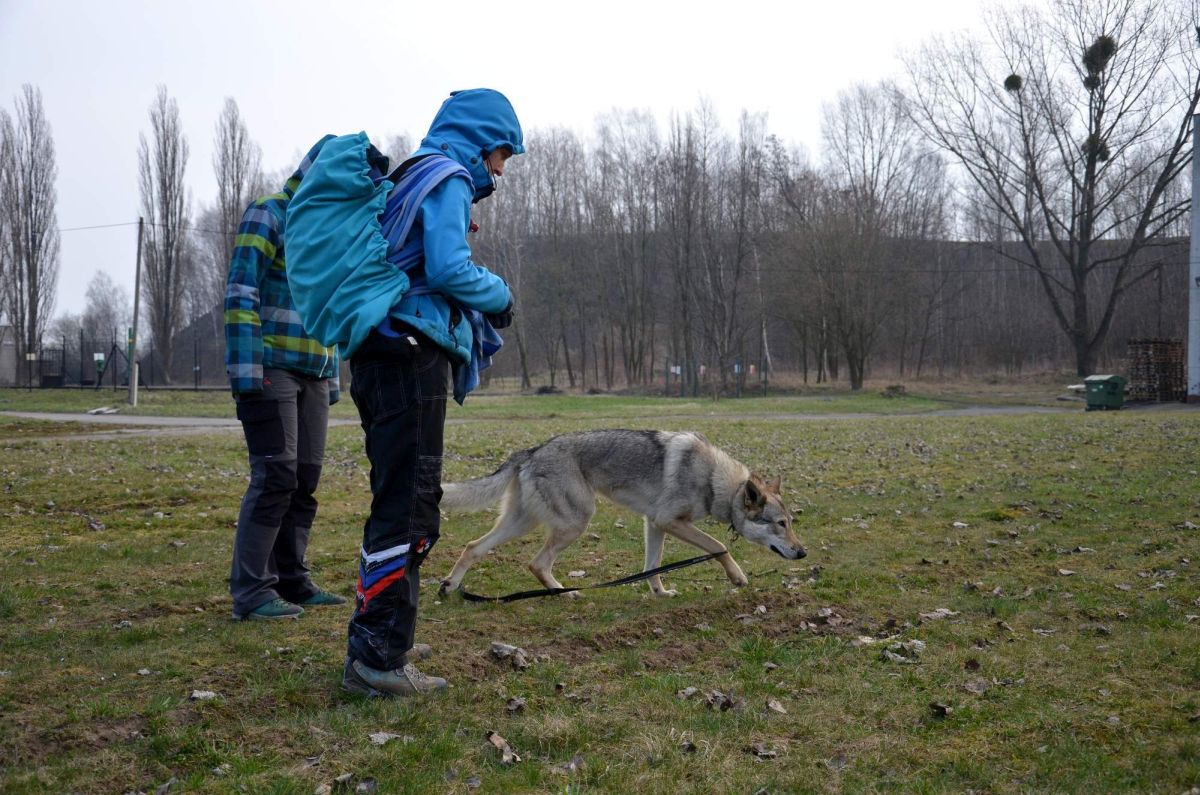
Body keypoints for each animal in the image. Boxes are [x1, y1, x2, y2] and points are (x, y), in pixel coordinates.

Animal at [439, 429, 806, 598]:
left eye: (791, 524)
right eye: (780, 524)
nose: (803, 552)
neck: (717, 482)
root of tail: (531, 450)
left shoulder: (655, 524)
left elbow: (652, 566)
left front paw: (660, 594)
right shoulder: (670, 522)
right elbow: (719, 546)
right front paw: (738, 577)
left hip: (522, 523)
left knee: (473, 547)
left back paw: (450, 586)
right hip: (576, 522)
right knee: (536, 563)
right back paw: (565, 592)